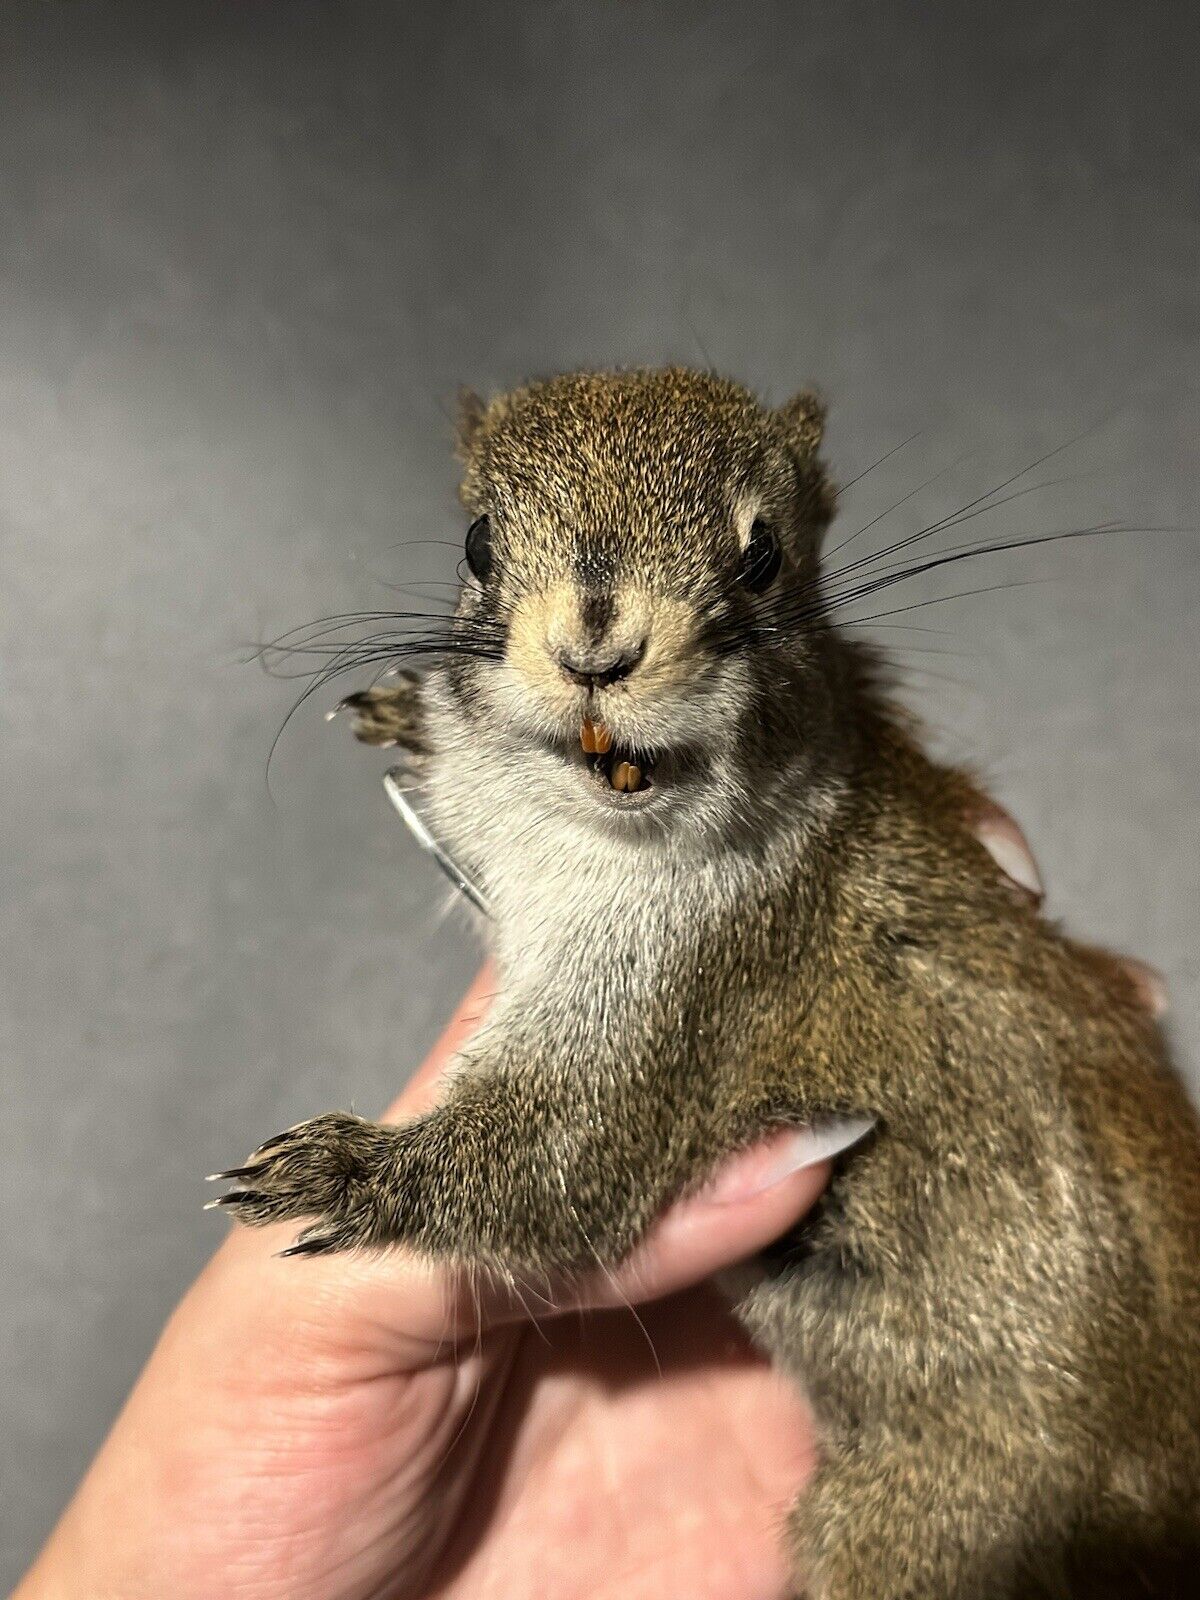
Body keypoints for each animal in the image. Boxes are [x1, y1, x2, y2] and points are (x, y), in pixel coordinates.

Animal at [219, 368, 1200, 1597]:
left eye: (764, 554)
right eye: (478, 542)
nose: (596, 651)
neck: (585, 824)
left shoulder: (704, 980)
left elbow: (559, 1159)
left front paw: (348, 1170)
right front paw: (417, 714)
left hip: (939, 1524)